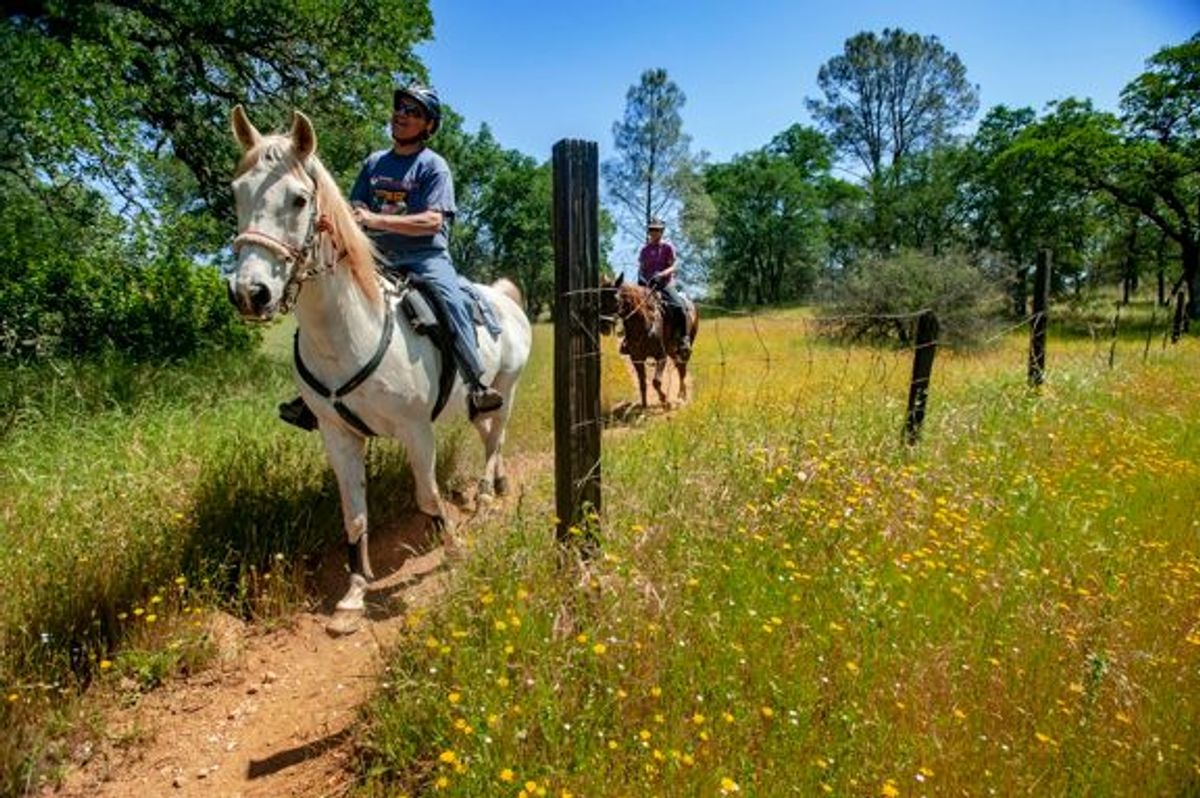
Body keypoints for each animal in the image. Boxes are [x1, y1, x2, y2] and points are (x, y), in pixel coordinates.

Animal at [226, 104, 532, 628]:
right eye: (237, 192)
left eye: (299, 200)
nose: (250, 293)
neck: (349, 332)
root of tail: (504, 297)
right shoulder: (337, 434)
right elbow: (353, 513)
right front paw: (353, 593)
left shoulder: (416, 430)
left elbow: (427, 495)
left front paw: (451, 550)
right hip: (478, 404)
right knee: (489, 434)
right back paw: (495, 485)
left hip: (506, 391)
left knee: (497, 436)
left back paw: (487, 493)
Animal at [604, 276, 700, 410]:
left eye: (615, 300)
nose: (603, 325)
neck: (644, 324)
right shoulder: (636, 359)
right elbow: (642, 382)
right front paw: (644, 405)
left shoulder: (661, 356)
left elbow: (656, 381)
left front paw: (665, 401)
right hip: (671, 349)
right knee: (679, 365)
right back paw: (681, 394)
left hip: (685, 347)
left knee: (682, 367)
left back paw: (682, 395)